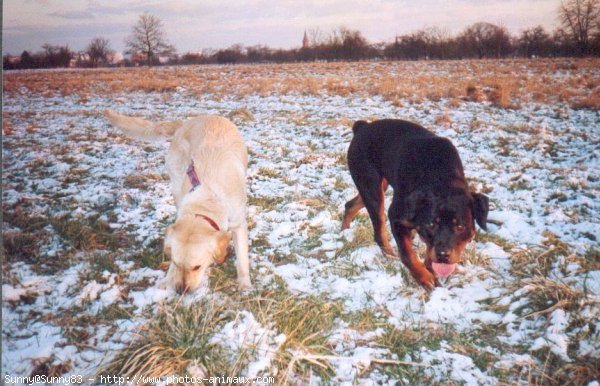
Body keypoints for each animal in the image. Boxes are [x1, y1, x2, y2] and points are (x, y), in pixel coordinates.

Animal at [340, 119, 490, 288]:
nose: (443, 254)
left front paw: (431, 271)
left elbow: (428, 253)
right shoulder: (396, 218)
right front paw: (424, 277)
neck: (441, 178)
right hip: (371, 186)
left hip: (379, 185)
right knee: (379, 231)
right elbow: (407, 254)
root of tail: (362, 127)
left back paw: (344, 231)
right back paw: (389, 254)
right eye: (431, 225)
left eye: (460, 227)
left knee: (351, 204)